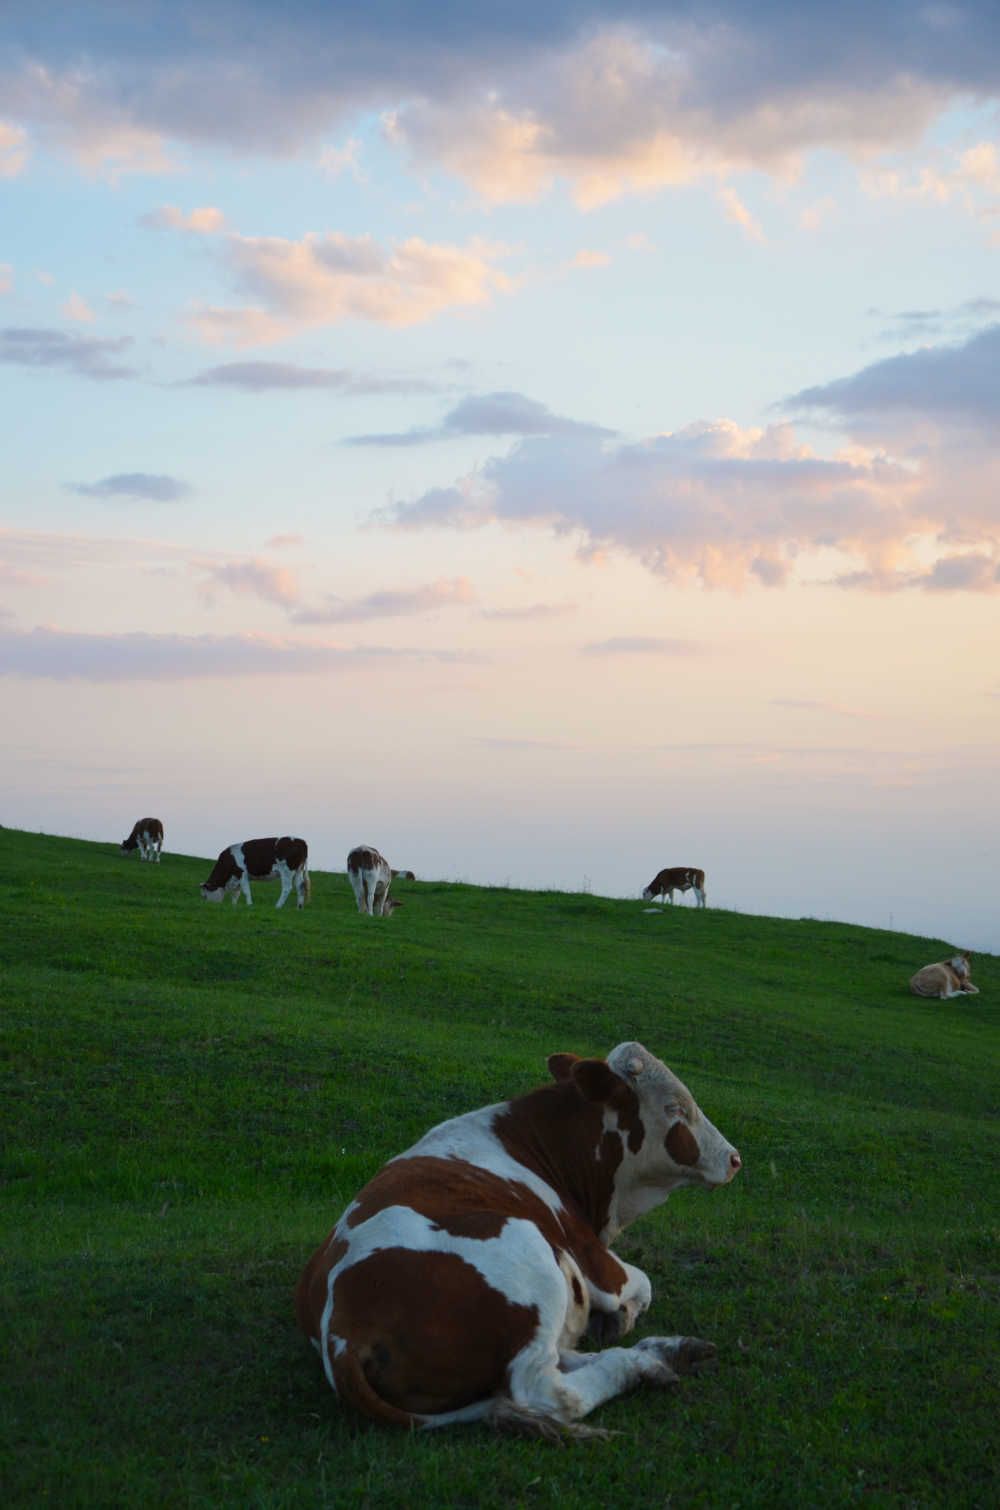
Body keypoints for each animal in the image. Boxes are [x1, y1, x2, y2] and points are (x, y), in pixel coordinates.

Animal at [294, 1038, 740, 1437]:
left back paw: (667, 1352)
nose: (734, 1158)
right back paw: (638, 1366)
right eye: (674, 1107)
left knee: (558, 1357)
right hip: (530, 1251)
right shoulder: (595, 1260)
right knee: (546, 1388)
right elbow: (644, 1286)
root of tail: (344, 1331)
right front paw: (621, 1316)